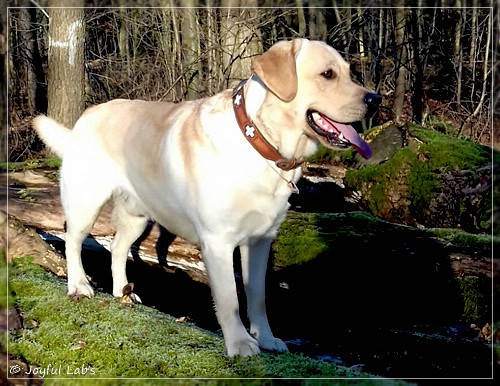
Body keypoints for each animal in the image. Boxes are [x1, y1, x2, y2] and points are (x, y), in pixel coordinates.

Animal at [33, 38, 380, 356]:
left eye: (350, 73)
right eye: (327, 74)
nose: (375, 99)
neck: (261, 143)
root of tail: (86, 116)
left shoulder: (260, 240)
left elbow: (257, 295)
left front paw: (266, 338)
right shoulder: (218, 241)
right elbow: (228, 298)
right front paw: (240, 344)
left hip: (138, 215)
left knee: (117, 249)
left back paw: (123, 293)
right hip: (86, 202)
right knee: (73, 241)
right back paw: (79, 286)